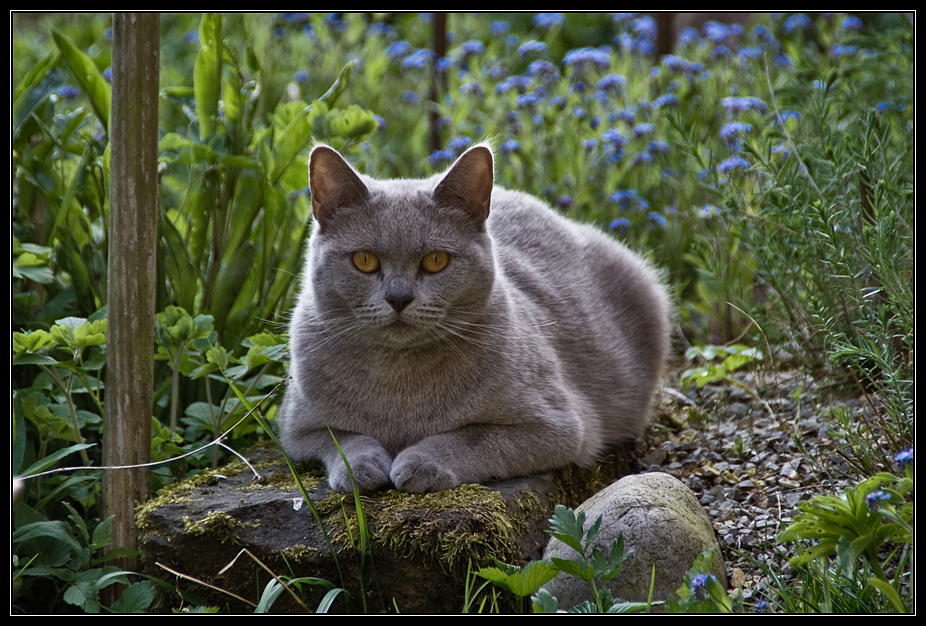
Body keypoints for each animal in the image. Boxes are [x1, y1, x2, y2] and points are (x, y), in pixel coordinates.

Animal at [280, 143, 672, 492]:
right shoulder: (294, 428)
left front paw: (421, 463)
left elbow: (471, 437)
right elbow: (342, 437)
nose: (399, 298)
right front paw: (361, 467)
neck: (399, 384)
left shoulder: (556, 426)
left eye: (436, 261)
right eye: (364, 260)